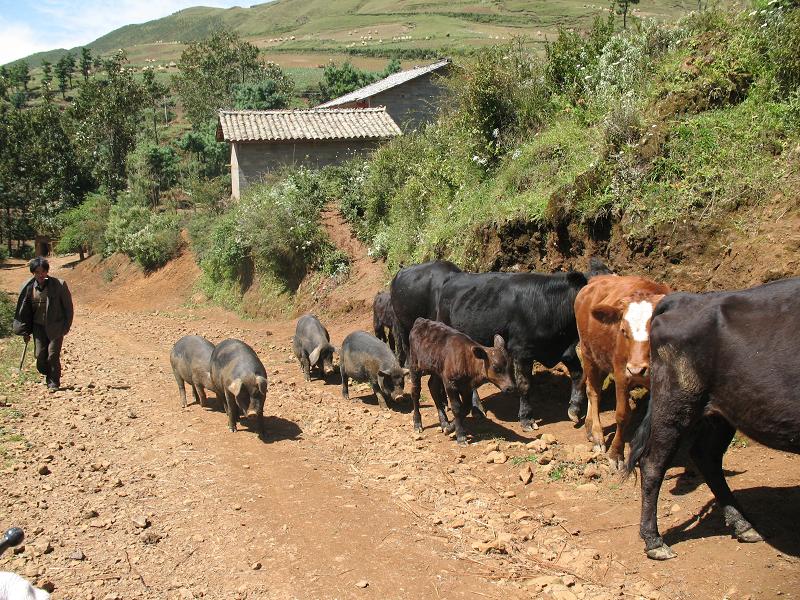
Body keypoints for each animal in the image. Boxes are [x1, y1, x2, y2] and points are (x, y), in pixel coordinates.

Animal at [410, 318, 516, 446]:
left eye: (511, 367)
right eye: (496, 368)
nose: (510, 388)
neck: (467, 360)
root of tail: (420, 321)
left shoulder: (467, 387)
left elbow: (466, 408)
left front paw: (450, 428)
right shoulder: (450, 384)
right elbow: (456, 408)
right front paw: (460, 435)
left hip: (436, 369)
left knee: (433, 387)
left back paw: (444, 422)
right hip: (414, 364)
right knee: (415, 392)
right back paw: (417, 423)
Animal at [576, 276, 668, 468]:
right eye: (623, 331)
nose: (636, 369)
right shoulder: (620, 375)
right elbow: (622, 415)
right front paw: (616, 454)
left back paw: (589, 426)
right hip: (588, 353)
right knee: (593, 391)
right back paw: (597, 435)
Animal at [624, 278, 800, 560]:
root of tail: (685, 299)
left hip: (723, 411)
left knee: (705, 456)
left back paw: (743, 525)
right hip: (677, 403)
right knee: (653, 463)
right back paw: (654, 540)